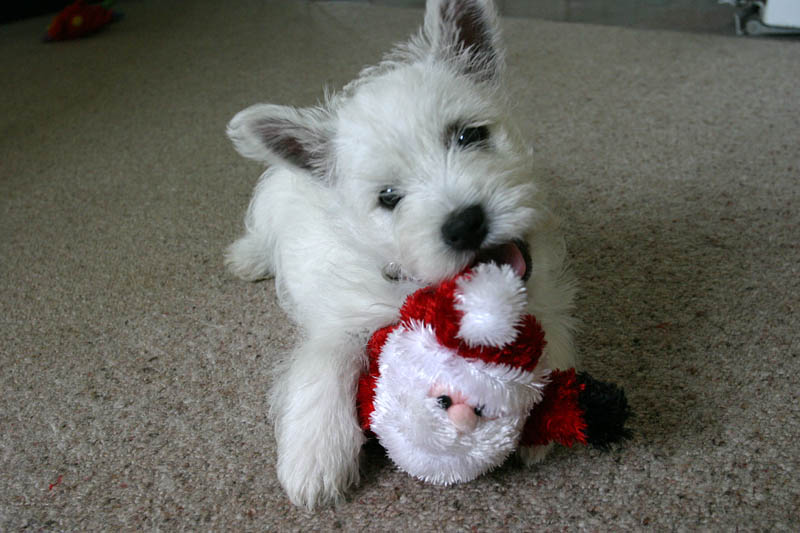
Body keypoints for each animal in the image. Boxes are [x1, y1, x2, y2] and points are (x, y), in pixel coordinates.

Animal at [225, 0, 576, 508]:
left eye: (469, 136)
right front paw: (316, 460)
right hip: (270, 205)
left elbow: (549, 329)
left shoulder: (544, 288)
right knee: (261, 234)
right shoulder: (345, 320)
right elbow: (326, 364)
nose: (465, 224)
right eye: (388, 197)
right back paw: (248, 257)